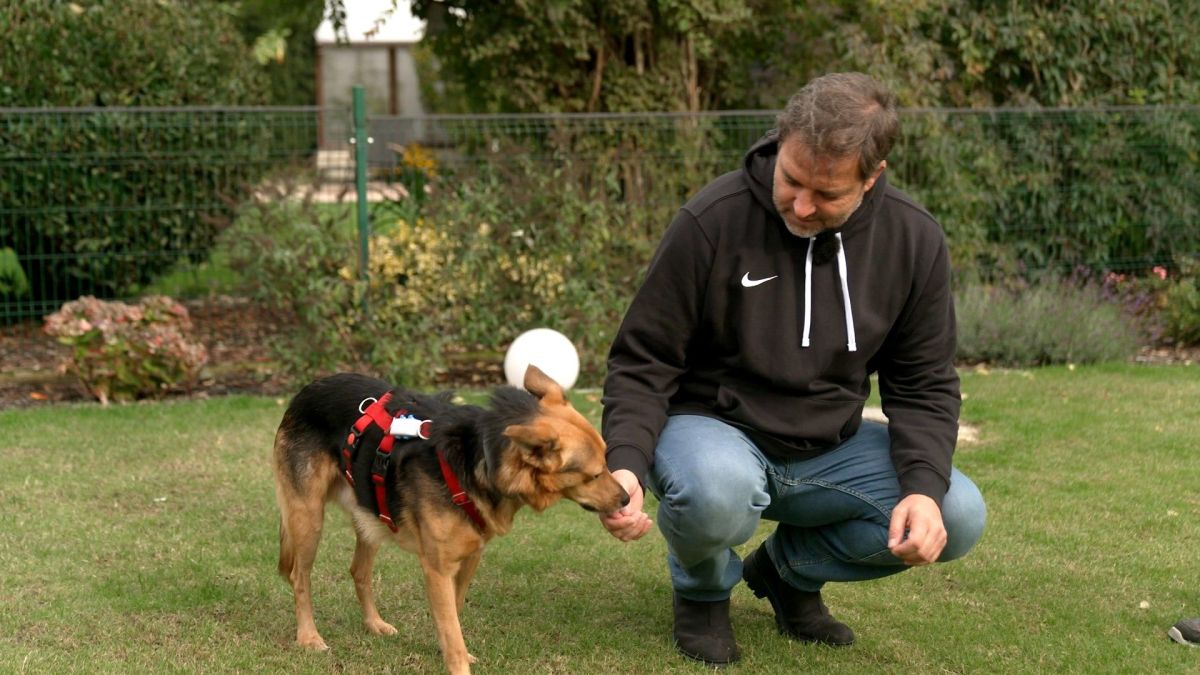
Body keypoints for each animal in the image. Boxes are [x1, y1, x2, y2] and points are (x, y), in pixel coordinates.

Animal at [272, 365, 628, 667]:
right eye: (594, 475)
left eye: (606, 462)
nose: (626, 499)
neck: (478, 457)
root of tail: (309, 389)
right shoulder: (437, 569)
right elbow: (450, 628)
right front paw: (456, 662)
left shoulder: (470, 557)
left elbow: (453, 617)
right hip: (308, 519)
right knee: (299, 578)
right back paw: (309, 637)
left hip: (369, 514)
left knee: (358, 571)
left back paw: (374, 624)